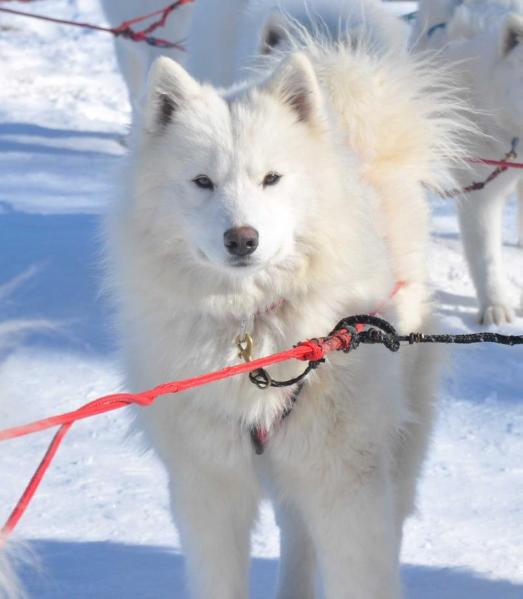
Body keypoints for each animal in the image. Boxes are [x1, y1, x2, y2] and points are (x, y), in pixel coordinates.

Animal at [106, 5, 470, 599]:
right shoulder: (209, 488)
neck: (253, 328)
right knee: (296, 533)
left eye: (271, 178)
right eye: (202, 181)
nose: (242, 238)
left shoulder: (345, 483)